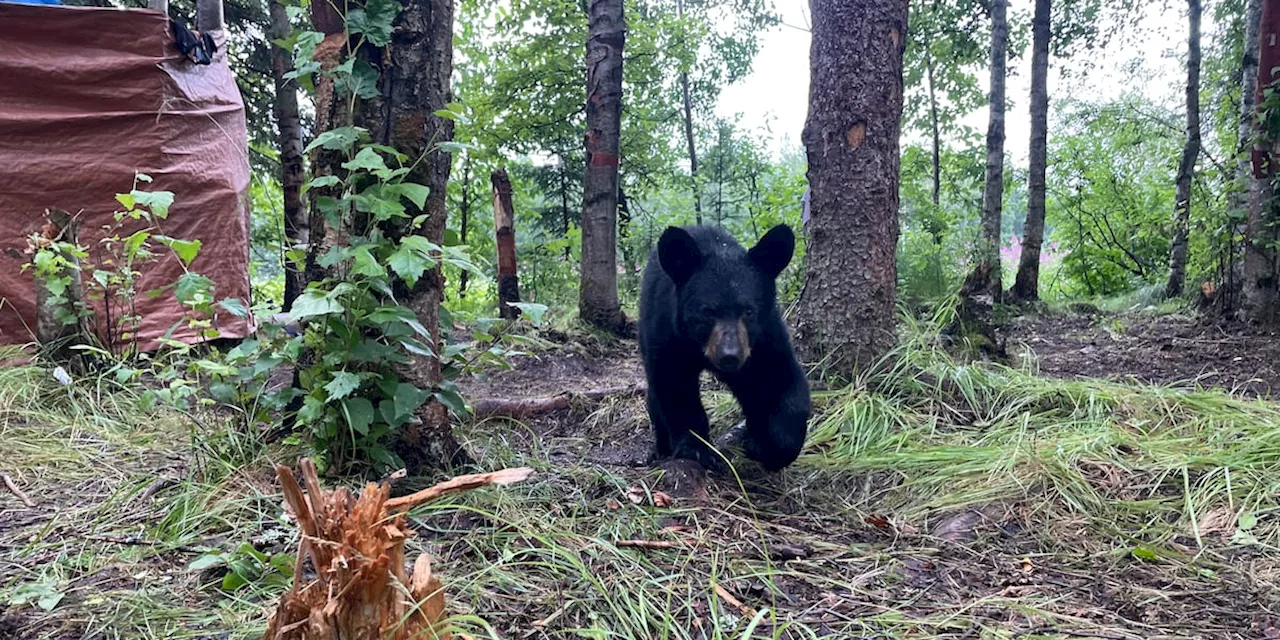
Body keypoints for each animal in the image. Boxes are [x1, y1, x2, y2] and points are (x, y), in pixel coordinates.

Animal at [637, 224, 808, 471]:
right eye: (708, 311)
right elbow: (675, 386)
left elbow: (777, 381)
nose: (730, 355)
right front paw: (698, 450)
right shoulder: (668, 334)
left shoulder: (763, 340)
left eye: (748, 311)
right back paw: (661, 448)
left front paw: (767, 447)